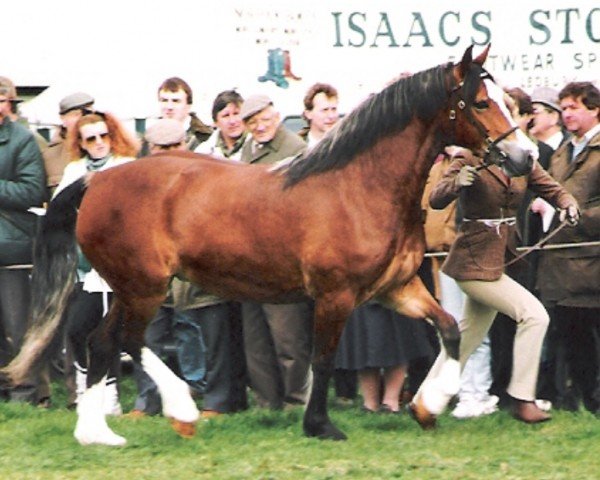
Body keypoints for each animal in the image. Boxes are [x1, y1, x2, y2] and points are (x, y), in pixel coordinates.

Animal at [0, 46, 536, 446]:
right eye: (481, 102)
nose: (525, 156)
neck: (361, 187)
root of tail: (97, 180)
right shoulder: (336, 296)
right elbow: (323, 359)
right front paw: (320, 426)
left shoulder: (396, 289)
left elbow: (448, 330)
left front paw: (428, 406)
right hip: (143, 287)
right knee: (122, 342)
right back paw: (178, 411)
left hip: (134, 289)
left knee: (104, 343)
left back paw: (98, 434)